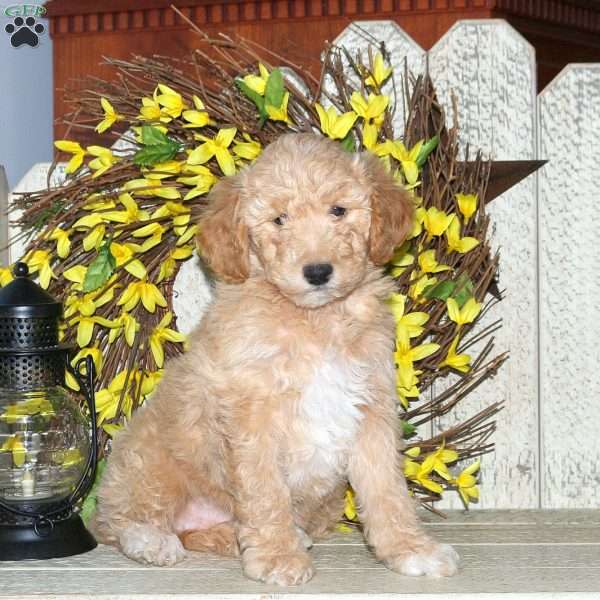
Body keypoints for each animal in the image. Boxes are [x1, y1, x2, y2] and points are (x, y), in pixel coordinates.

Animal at [94, 132, 460, 584]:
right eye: (279, 220)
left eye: (338, 211)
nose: (317, 272)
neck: (315, 321)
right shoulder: (254, 419)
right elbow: (265, 493)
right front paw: (278, 557)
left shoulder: (371, 408)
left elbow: (386, 490)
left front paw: (410, 550)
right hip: (149, 463)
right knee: (121, 520)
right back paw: (154, 543)